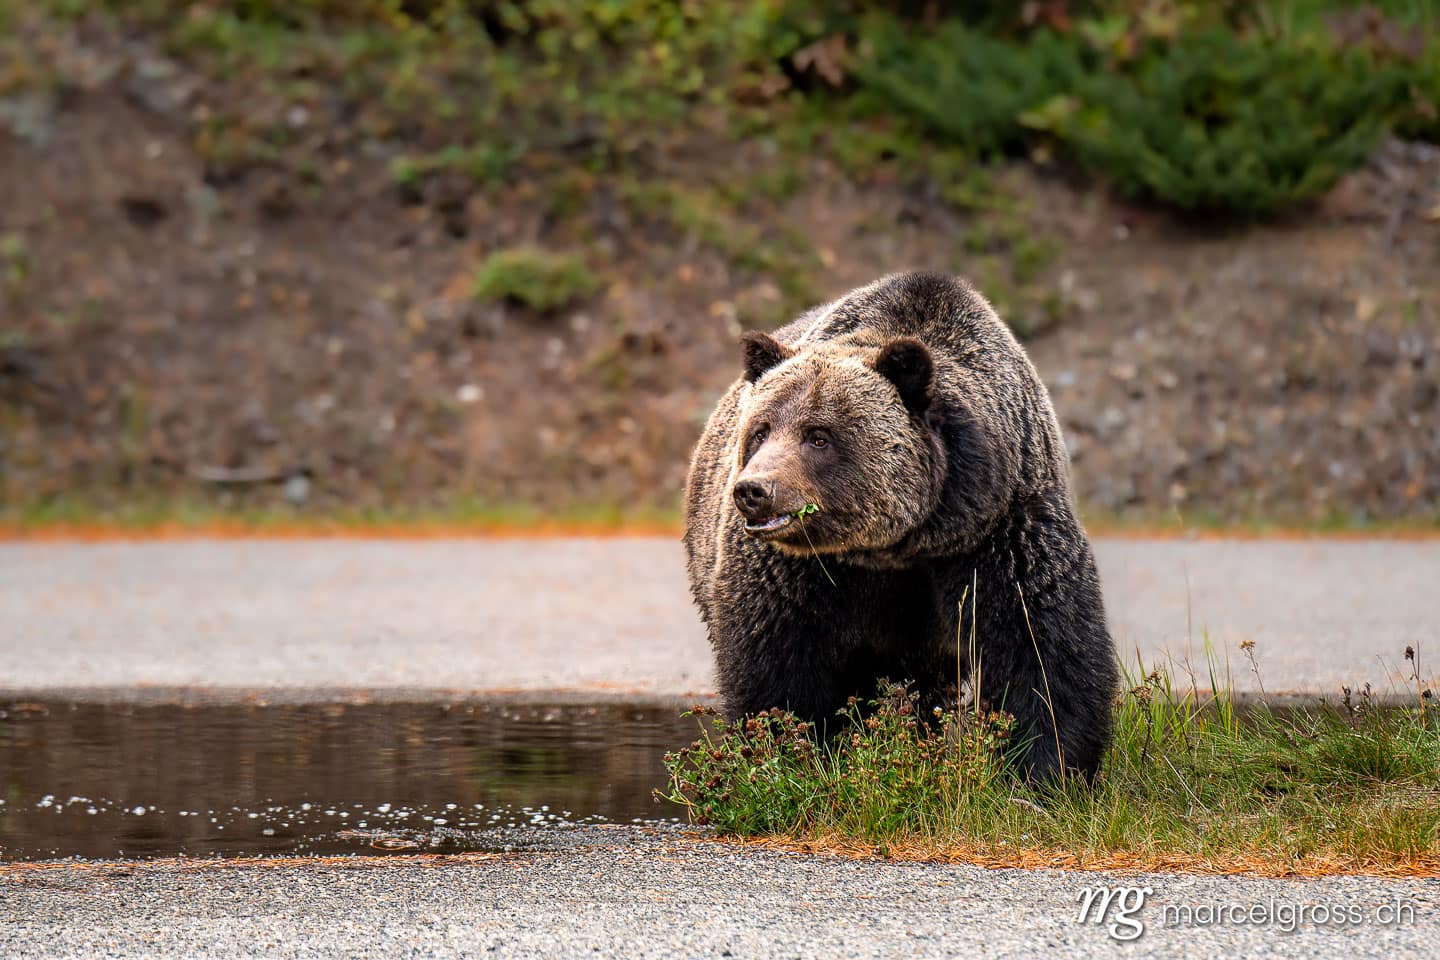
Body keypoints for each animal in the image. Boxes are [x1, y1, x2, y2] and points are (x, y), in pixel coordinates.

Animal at [682, 271, 1119, 783]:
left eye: (818, 436)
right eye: (761, 430)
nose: (754, 490)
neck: (897, 545)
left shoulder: (1003, 529)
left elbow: (1042, 649)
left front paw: (1045, 770)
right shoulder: (796, 568)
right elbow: (778, 664)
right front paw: (792, 755)